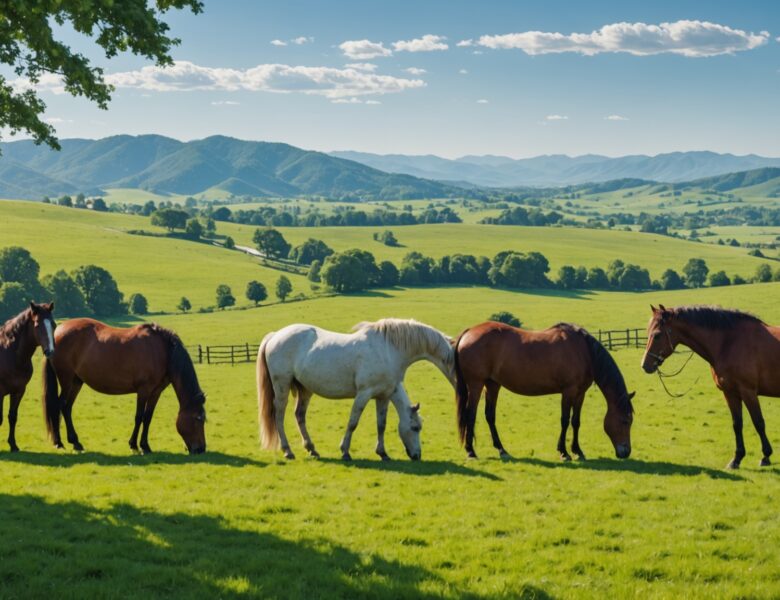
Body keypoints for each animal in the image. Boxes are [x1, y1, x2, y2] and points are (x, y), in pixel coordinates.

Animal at [0, 302, 56, 451]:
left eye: (53, 325)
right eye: (37, 325)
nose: (50, 351)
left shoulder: (19, 390)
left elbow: (12, 416)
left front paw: (13, 444)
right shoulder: (0, 392)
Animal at [42, 319, 207, 454]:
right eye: (198, 418)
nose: (201, 449)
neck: (163, 350)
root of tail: (57, 332)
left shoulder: (156, 391)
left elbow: (148, 417)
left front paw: (145, 446)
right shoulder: (143, 390)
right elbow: (139, 417)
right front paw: (134, 445)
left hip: (76, 382)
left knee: (67, 408)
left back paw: (75, 442)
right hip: (66, 380)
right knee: (58, 406)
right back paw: (59, 442)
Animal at [257, 318, 455, 461]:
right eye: (415, 428)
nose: (417, 456)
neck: (388, 350)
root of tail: (275, 335)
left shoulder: (384, 396)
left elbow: (381, 425)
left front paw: (383, 453)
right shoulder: (364, 394)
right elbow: (353, 422)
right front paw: (345, 451)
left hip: (305, 390)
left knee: (299, 415)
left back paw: (312, 449)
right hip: (282, 386)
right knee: (279, 416)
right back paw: (288, 451)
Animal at [454, 321, 635, 460]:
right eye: (625, 421)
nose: (626, 452)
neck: (584, 351)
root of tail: (468, 332)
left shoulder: (580, 394)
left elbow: (576, 422)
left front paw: (577, 451)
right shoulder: (568, 391)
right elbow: (565, 420)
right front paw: (564, 452)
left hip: (492, 384)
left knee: (490, 416)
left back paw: (502, 450)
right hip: (476, 384)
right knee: (471, 414)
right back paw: (471, 451)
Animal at [642, 304, 780, 469]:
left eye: (657, 335)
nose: (645, 365)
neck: (730, 342)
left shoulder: (748, 392)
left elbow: (758, 422)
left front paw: (766, 456)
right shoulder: (730, 393)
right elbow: (737, 424)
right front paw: (737, 458)